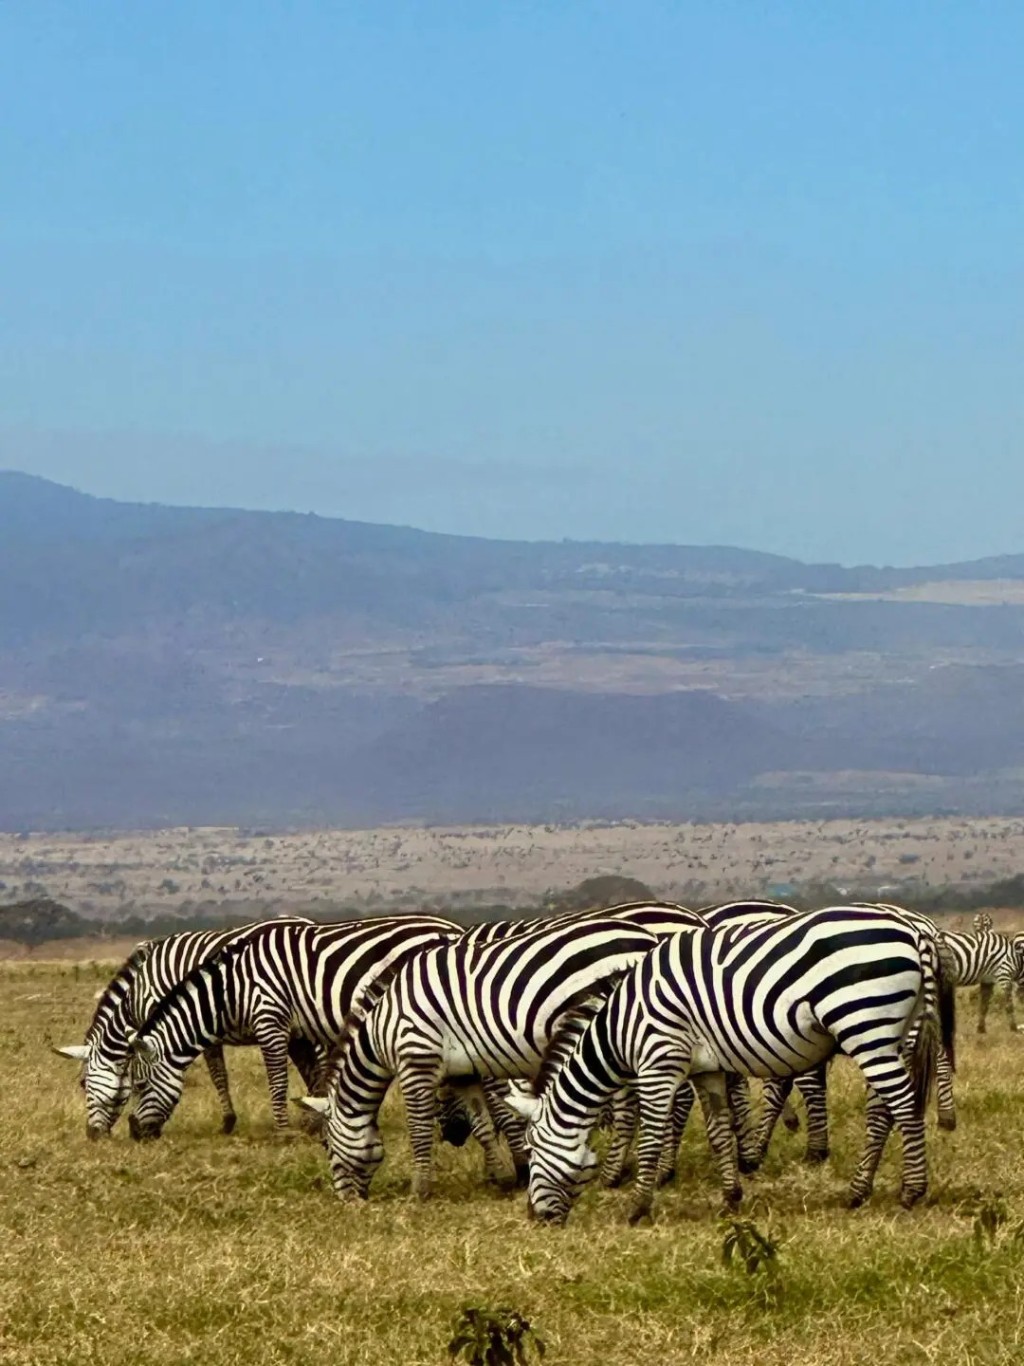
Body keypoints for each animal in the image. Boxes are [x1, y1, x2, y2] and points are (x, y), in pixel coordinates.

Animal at [54, 923, 319, 1136]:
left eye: (84, 1084)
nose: (92, 1135)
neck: (137, 992)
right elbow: (218, 1073)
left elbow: (211, 1074)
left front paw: (226, 1121)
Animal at [126, 917, 464, 1141]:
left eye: (139, 1087)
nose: (134, 1132)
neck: (231, 989)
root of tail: (456, 927)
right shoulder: (299, 1032)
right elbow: (314, 1076)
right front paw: (317, 1123)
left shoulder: (270, 1019)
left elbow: (277, 1081)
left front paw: (283, 1131)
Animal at [300, 912, 660, 1202]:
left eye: (328, 1147)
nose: (347, 1202)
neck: (380, 1028)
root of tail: (647, 937)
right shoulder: (463, 1073)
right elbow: (482, 1124)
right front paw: (502, 1179)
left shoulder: (416, 1059)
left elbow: (419, 1129)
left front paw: (419, 1191)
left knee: (631, 1110)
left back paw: (615, 1176)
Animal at [516, 907, 961, 1229]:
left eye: (534, 1148)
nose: (534, 1218)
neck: (618, 1028)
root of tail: (914, 928)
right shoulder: (705, 1069)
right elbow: (717, 1130)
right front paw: (730, 1197)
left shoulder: (659, 1062)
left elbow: (651, 1136)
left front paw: (639, 1207)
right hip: (892, 1032)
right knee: (882, 1111)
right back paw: (858, 1191)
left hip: (864, 1023)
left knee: (903, 1104)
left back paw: (911, 1191)